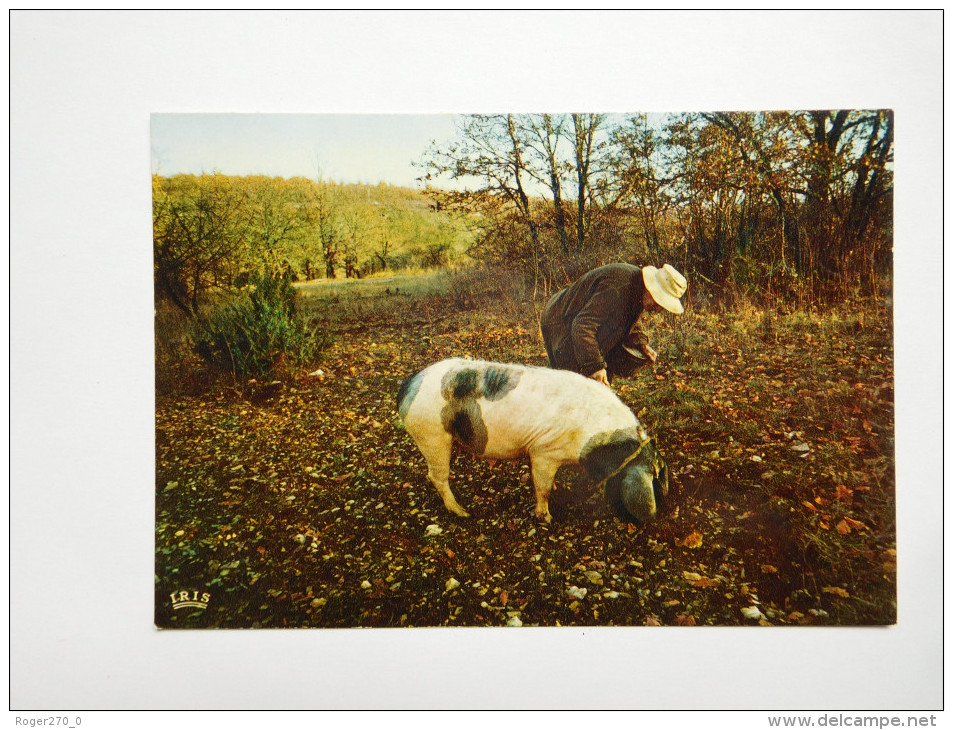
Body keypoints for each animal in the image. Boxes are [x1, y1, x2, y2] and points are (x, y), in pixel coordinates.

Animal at [396, 358, 668, 524]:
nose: (661, 514)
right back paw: (463, 512)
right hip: (432, 436)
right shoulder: (544, 451)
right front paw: (547, 518)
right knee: (436, 477)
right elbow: (543, 487)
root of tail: (409, 387)